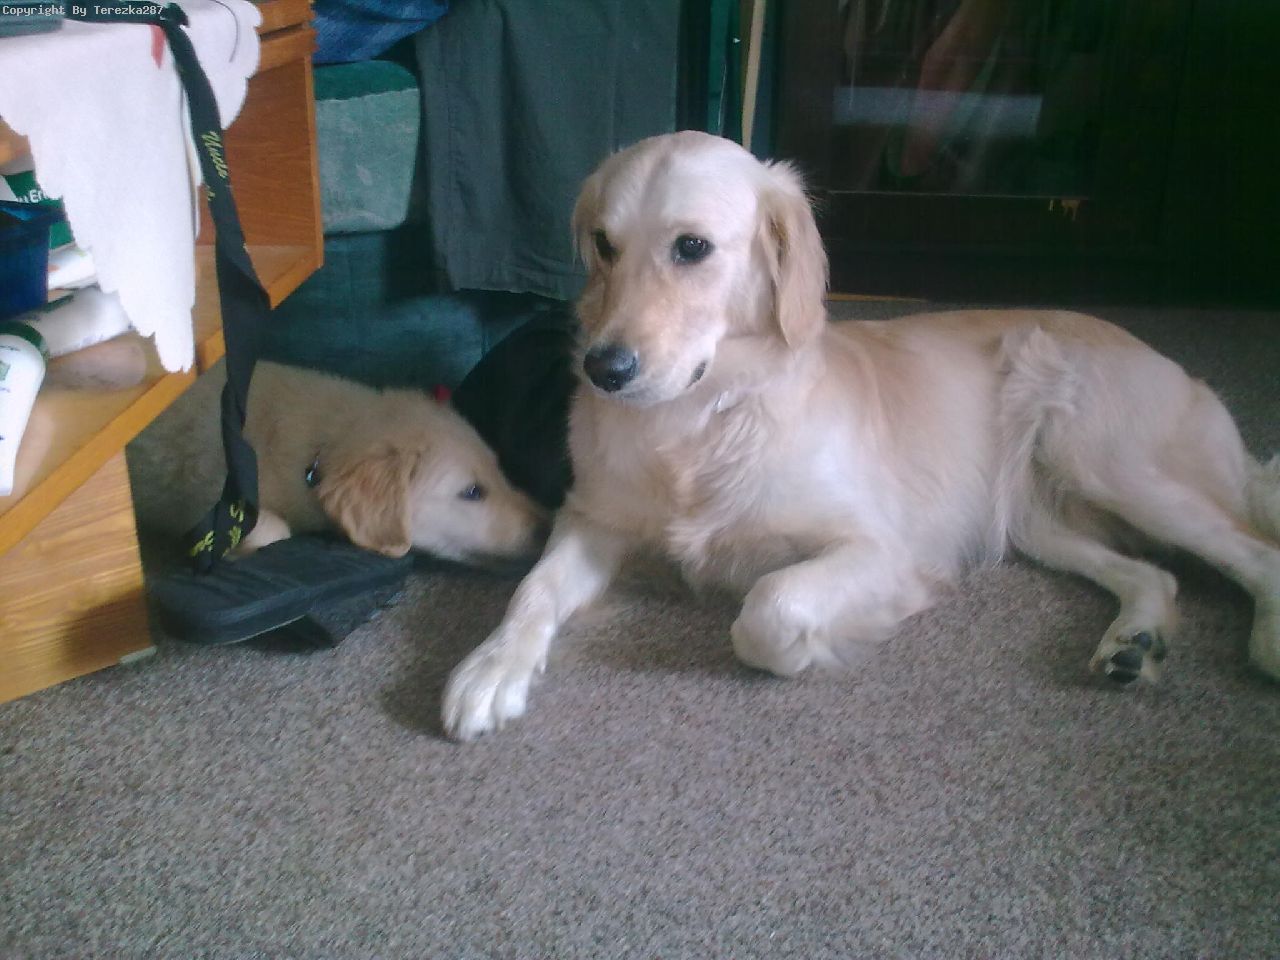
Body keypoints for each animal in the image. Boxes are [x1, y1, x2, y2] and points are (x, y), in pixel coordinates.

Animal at [441, 130, 1280, 740]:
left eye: (692, 247)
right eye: (605, 245)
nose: (603, 368)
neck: (703, 419)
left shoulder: (880, 546)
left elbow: (770, 607)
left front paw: (810, 646)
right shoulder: (593, 518)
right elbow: (532, 591)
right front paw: (489, 667)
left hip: (1111, 459)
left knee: (1254, 553)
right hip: (1041, 517)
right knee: (1155, 574)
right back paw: (1133, 644)